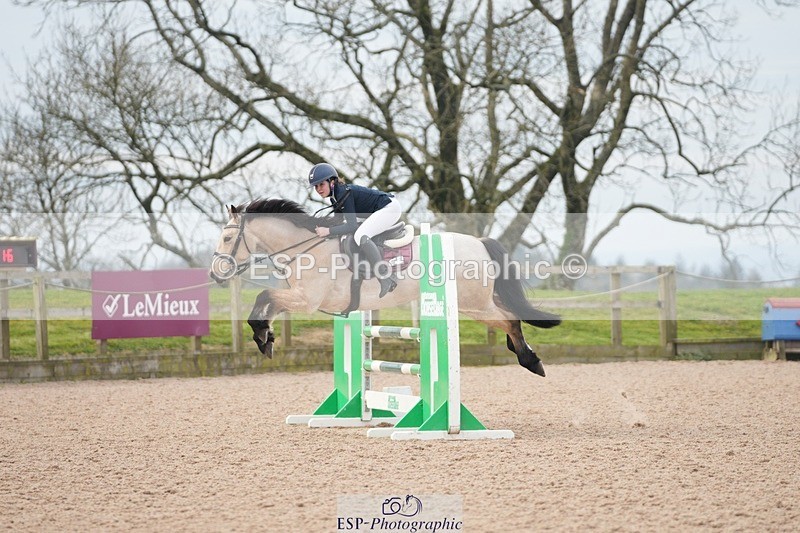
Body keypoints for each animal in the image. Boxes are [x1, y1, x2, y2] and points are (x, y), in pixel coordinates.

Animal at [208, 198, 561, 377]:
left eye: (226, 238)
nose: (214, 275)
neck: (306, 248)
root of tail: (479, 243)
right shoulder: (298, 298)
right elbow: (264, 303)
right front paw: (265, 338)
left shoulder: (306, 300)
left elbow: (264, 296)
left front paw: (263, 339)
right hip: (475, 303)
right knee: (510, 318)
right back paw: (524, 354)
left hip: (474, 304)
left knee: (511, 319)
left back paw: (532, 362)